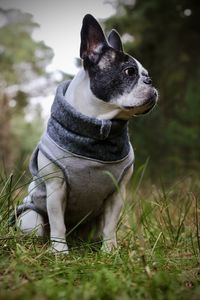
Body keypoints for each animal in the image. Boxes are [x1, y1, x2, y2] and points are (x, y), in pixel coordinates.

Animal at [14, 14, 158, 253]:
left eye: (146, 75)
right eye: (129, 72)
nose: (150, 81)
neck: (100, 127)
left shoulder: (117, 192)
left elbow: (110, 226)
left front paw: (110, 252)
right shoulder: (56, 188)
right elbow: (57, 223)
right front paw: (60, 252)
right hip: (30, 220)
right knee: (40, 229)